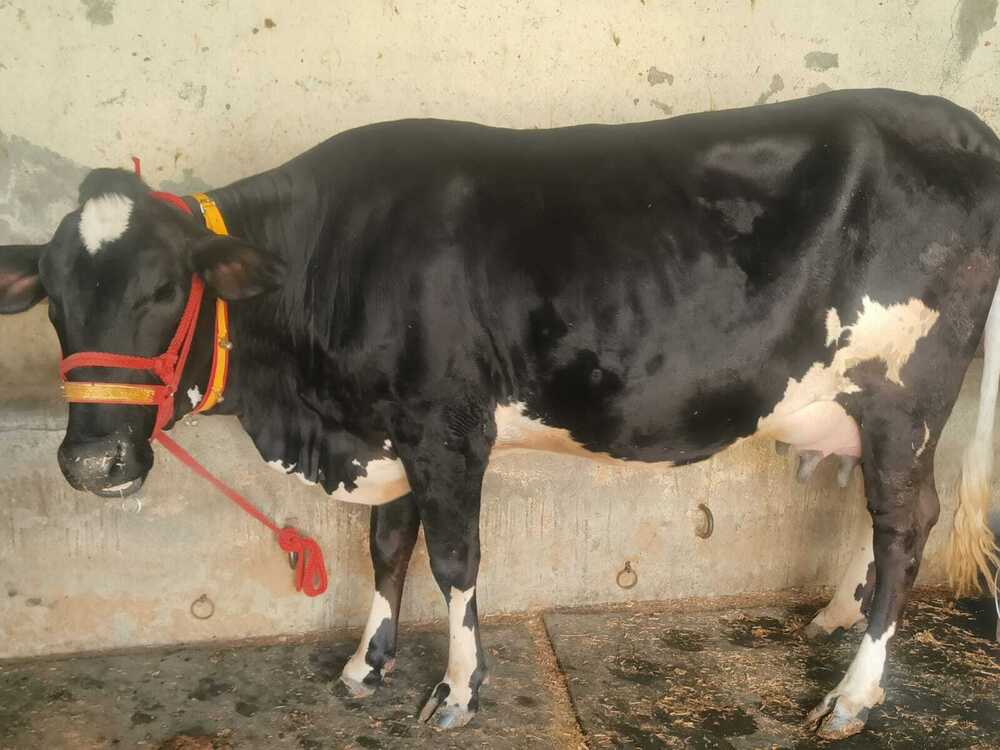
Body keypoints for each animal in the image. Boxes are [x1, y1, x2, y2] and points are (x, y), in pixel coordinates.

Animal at [1, 88, 999, 739]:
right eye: (51, 298)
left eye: (167, 288)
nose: (93, 464)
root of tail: (962, 123)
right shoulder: (391, 430)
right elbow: (387, 549)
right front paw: (365, 665)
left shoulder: (446, 425)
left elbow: (453, 561)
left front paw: (457, 691)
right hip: (863, 403)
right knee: (875, 520)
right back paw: (834, 615)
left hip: (907, 394)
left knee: (907, 525)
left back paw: (853, 696)